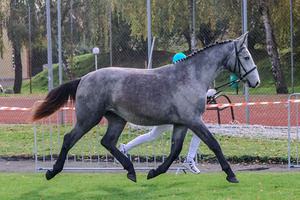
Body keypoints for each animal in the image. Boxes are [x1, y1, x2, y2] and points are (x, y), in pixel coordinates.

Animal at [31, 32, 260, 183]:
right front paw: (231, 174)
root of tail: (83, 78)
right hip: (88, 118)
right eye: (246, 57)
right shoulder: (193, 121)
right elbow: (214, 144)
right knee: (69, 139)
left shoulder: (182, 123)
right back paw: (52, 171)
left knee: (108, 142)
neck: (190, 76)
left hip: (117, 119)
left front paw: (154, 172)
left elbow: (175, 150)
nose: (256, 82)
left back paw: (131, 171)